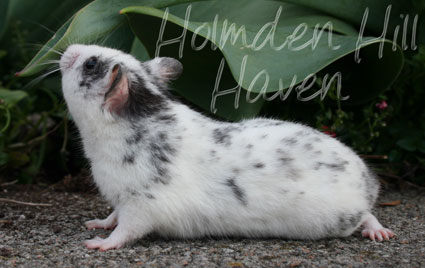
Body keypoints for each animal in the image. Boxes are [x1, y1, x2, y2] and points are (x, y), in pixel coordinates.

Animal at [58, 44, 392, 251]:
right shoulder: (120, 201)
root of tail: (369, 181)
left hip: (337, 219)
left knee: (365, 215)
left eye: (90, 63)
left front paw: (98, 244)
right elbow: (112, 217)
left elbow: (124, 230)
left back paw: (379, 232)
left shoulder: (142, 205)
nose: (68, 49)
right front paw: (95, 224)